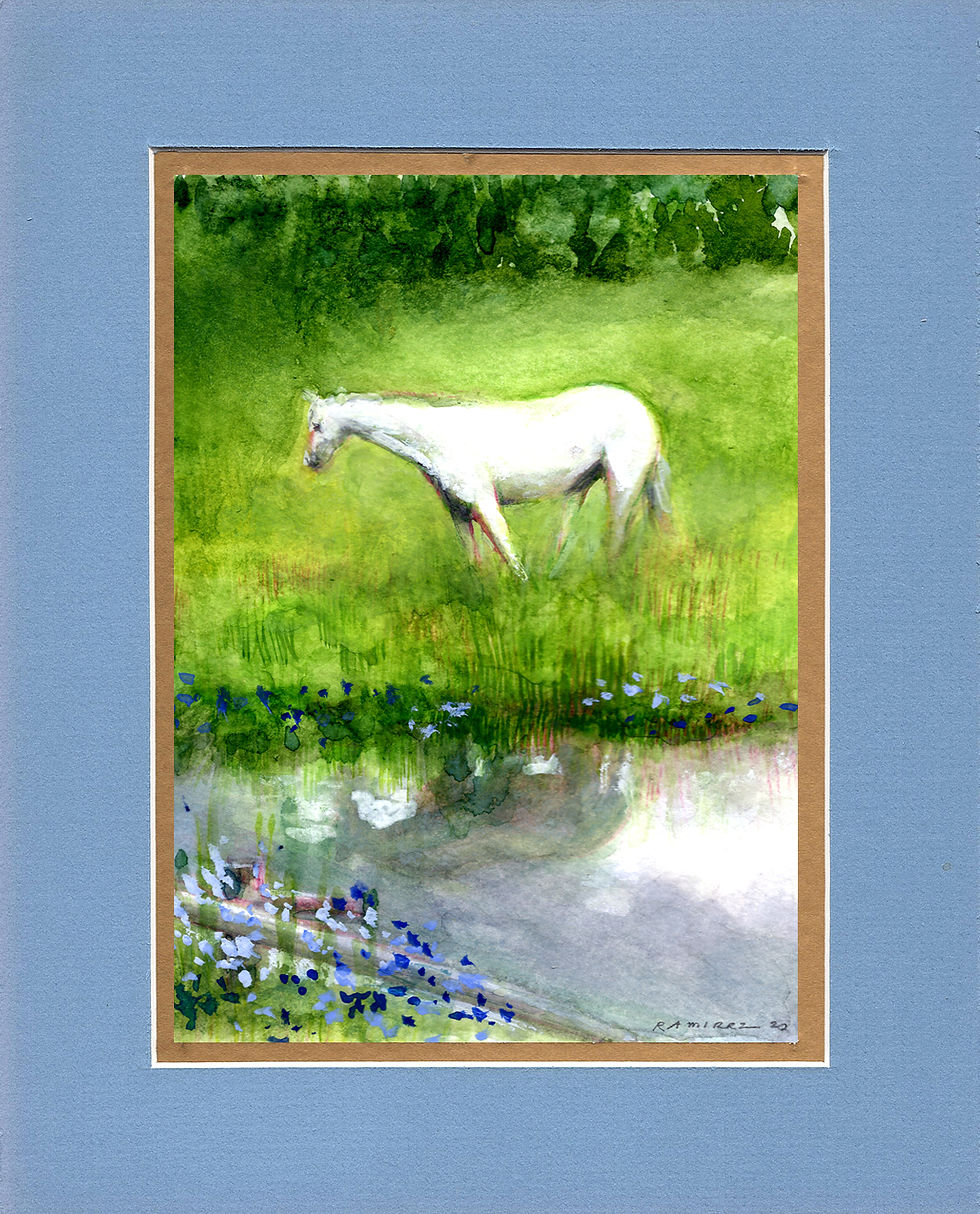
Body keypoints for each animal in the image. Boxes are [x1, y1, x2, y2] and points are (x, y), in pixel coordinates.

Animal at [302, 384, 671, 579]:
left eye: (317, 425)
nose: (310, 461)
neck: (434, 439)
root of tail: (643, 411)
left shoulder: (484, 502)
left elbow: (508, 552)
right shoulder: (459, 511)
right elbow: (474, 561)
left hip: (622, 486)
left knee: (618, 536)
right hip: (580, 491)